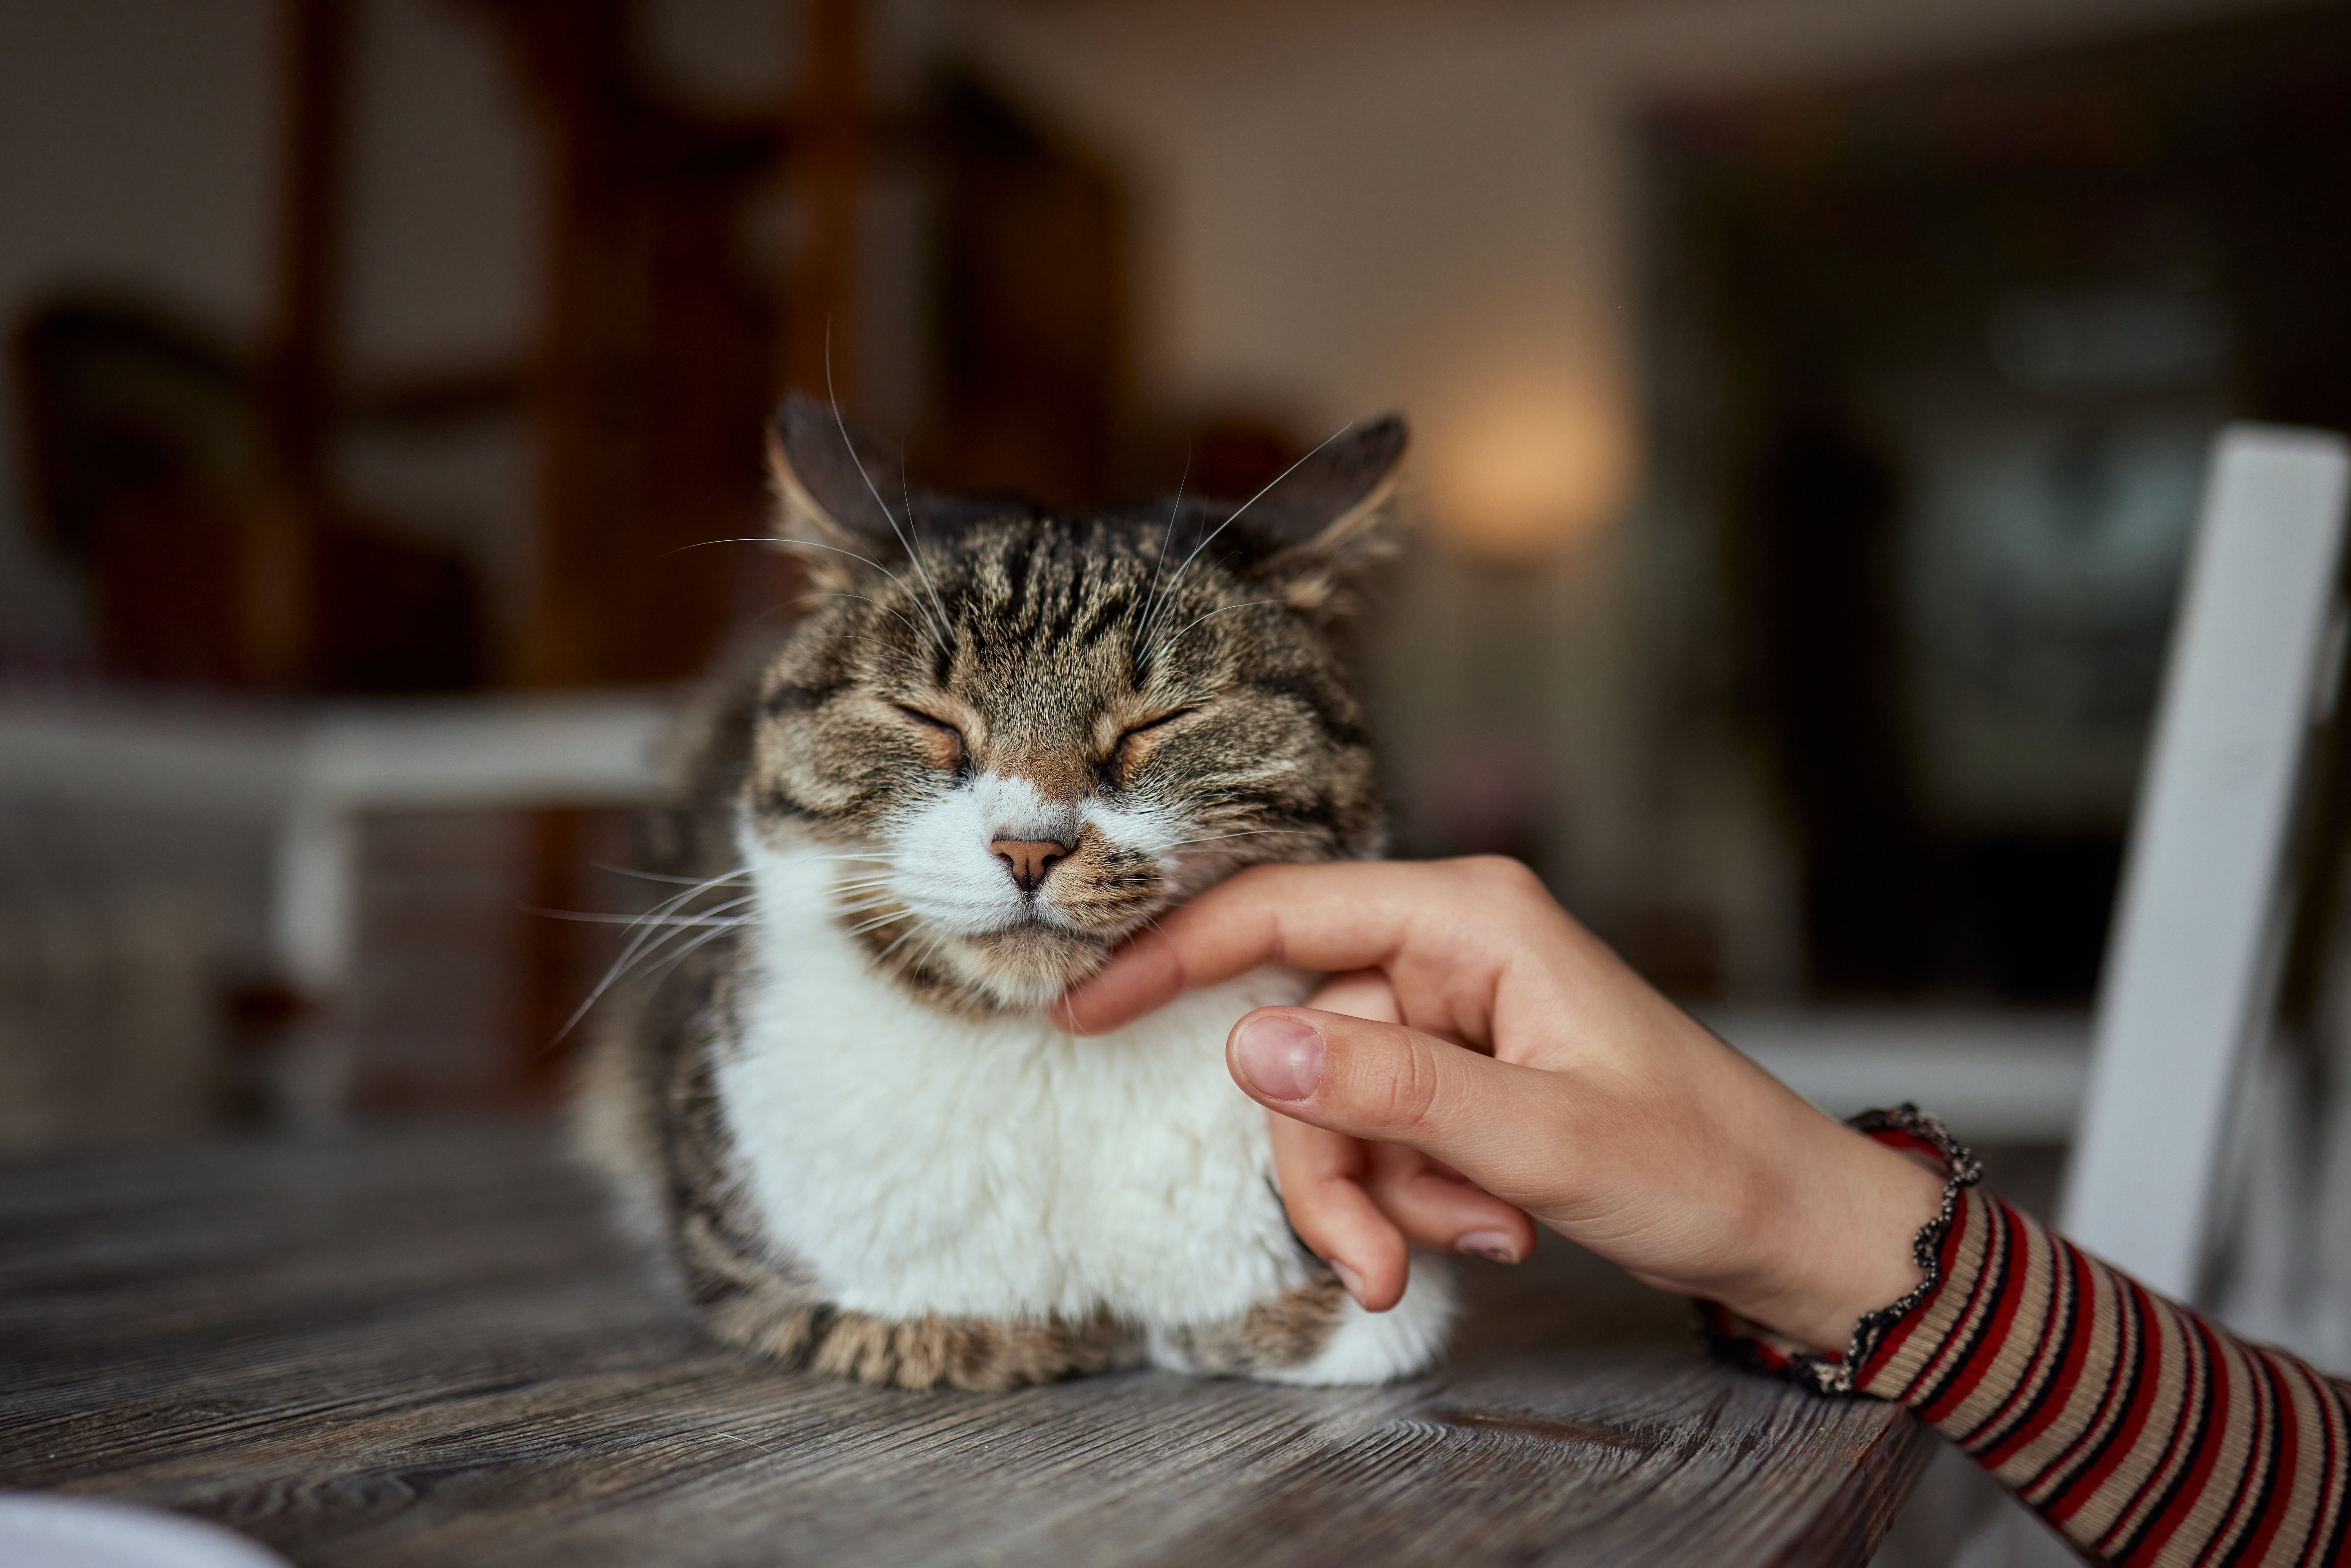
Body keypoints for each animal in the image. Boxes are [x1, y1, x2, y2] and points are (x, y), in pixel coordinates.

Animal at [576, 399, 1448, 1392]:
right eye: (925, 719)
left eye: (1159, 723)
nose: (1028, 846)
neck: (1048, 1061)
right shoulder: (758, 1263)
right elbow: (937, 1325)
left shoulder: (1367, 1302)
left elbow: (1350, 1317)